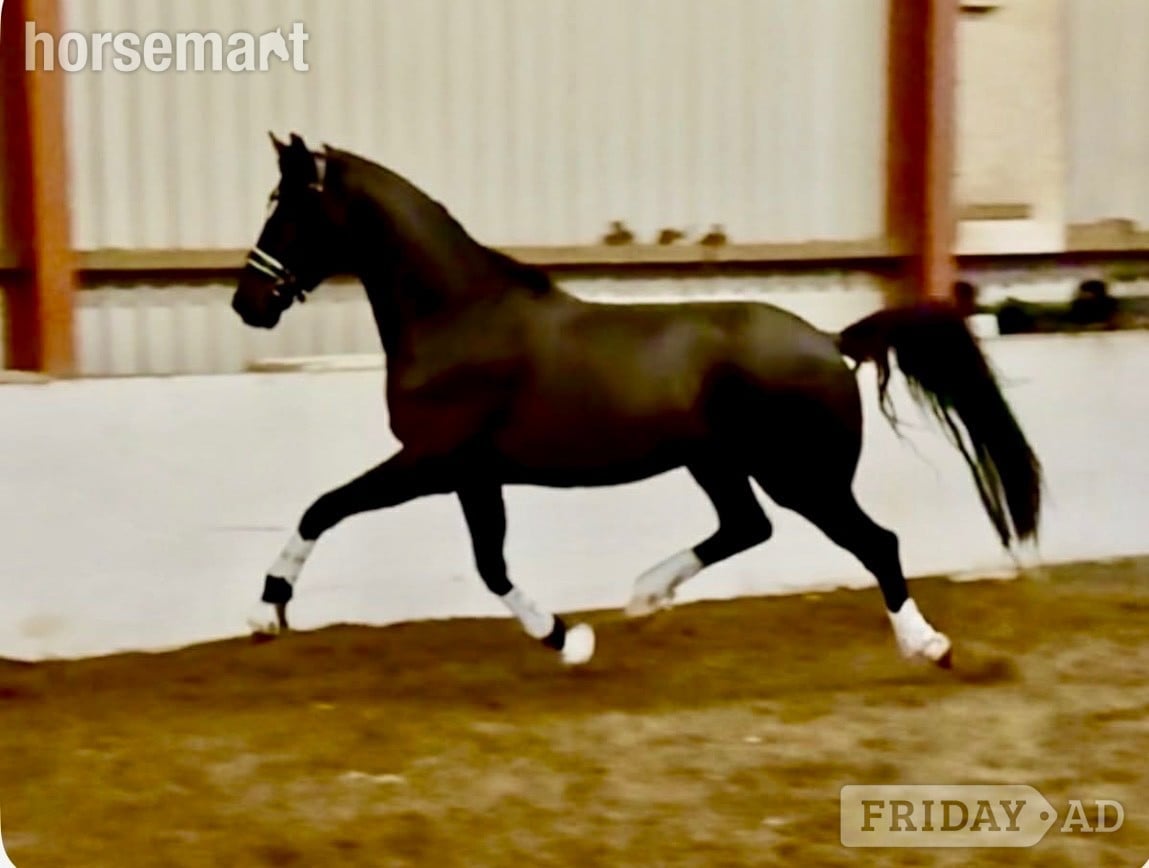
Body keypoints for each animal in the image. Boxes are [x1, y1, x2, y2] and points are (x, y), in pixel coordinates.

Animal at [232, 132, 1043, 669]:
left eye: (288, 212)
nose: (249, 303)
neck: (460, 315)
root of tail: (828, 339)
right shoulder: (471, 474)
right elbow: (490, 564)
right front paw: (569, 639)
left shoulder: (430, 460)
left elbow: (325, 508)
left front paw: (267, 608)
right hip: (720, 464)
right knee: (746, 527)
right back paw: (646, 595)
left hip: (802, 476)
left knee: (876, 543)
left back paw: (926, 643)